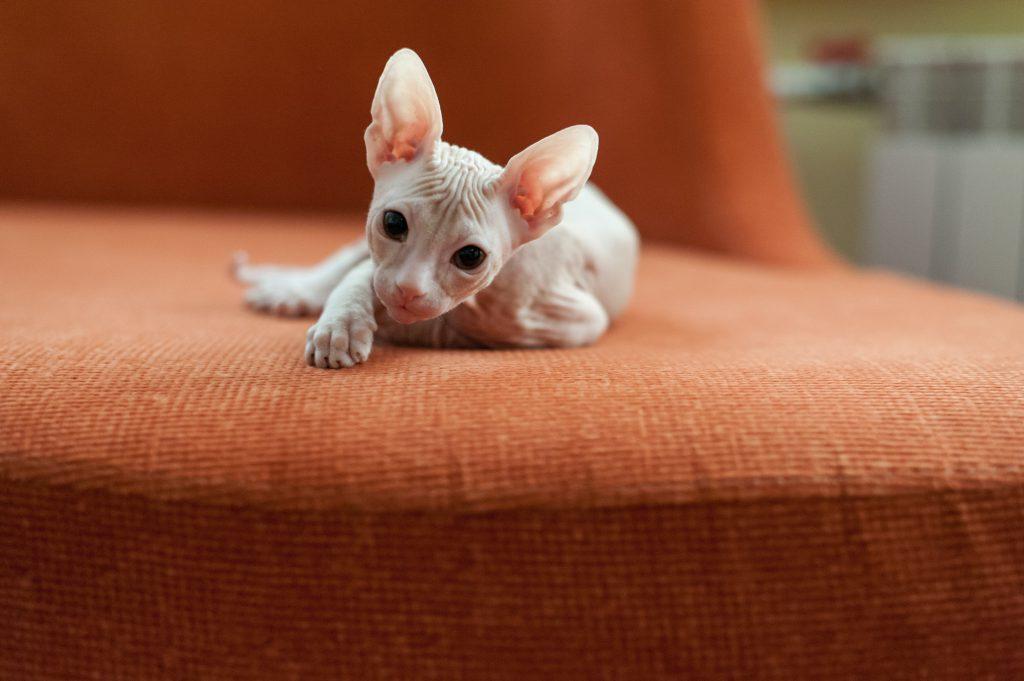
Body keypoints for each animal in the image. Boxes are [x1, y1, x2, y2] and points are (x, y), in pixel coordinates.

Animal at [232, 49, 638, 368]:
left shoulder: (576, 317)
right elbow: (362, 275)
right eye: (393, 223)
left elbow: (466, 326)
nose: (408, 290)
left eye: (471, 257)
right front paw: (341, 327)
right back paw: (293, 289)